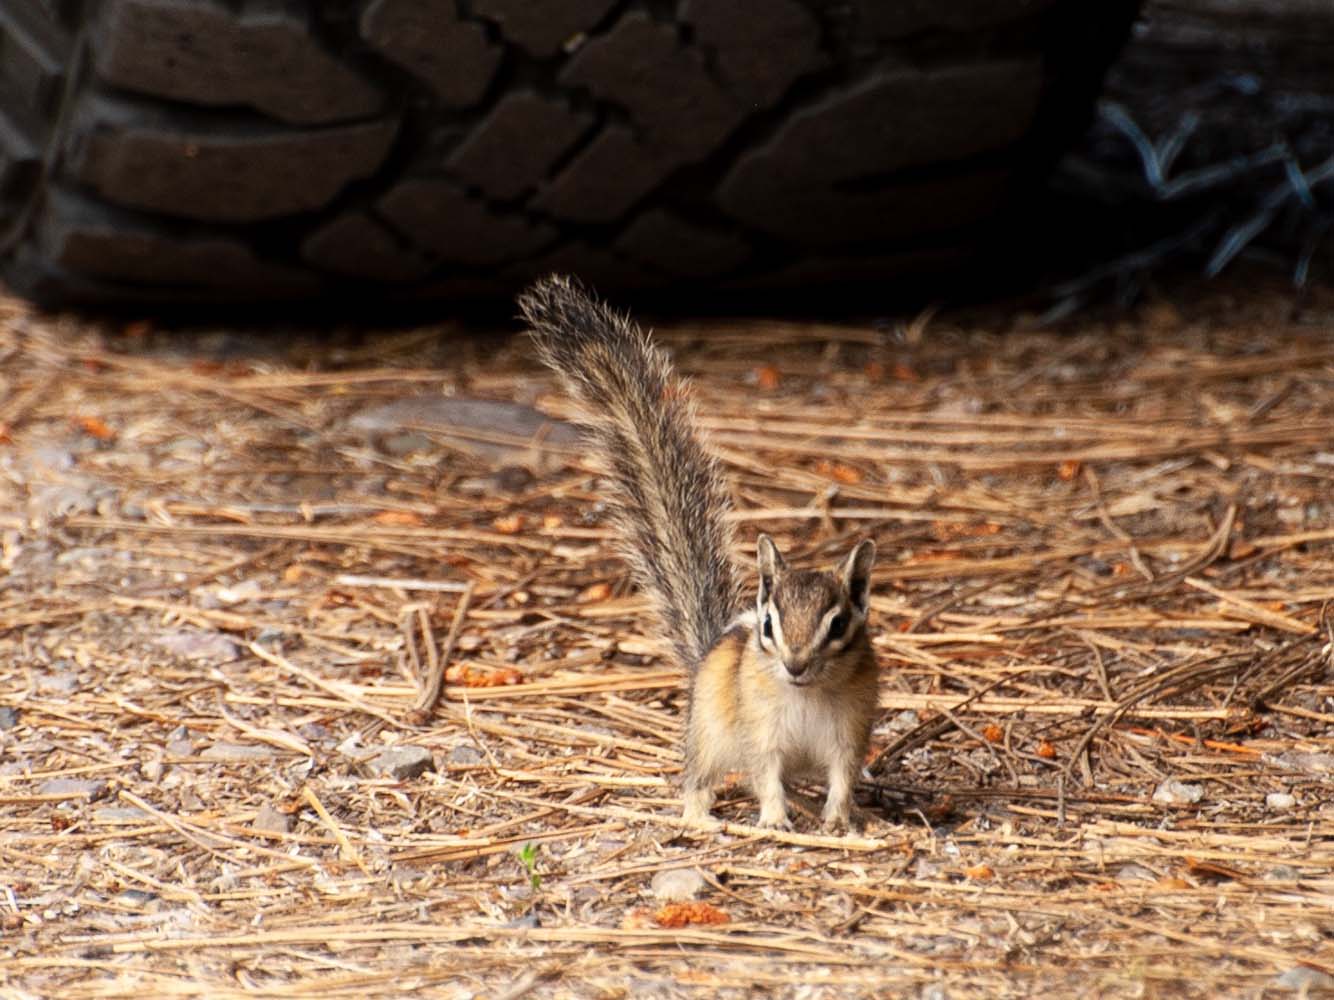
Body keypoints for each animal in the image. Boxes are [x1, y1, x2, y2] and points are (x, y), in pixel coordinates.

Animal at [519, 275, 879, 831]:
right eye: (769, 624)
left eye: (838, 624)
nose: (796, 664)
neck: (806, 693)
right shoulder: (760, 733)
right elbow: (765, 775)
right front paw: (774, 820)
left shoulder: (849, 733)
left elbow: (841, 778)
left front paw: (839, 822)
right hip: (708, 733)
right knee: (699, 777)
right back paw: (699, 817)